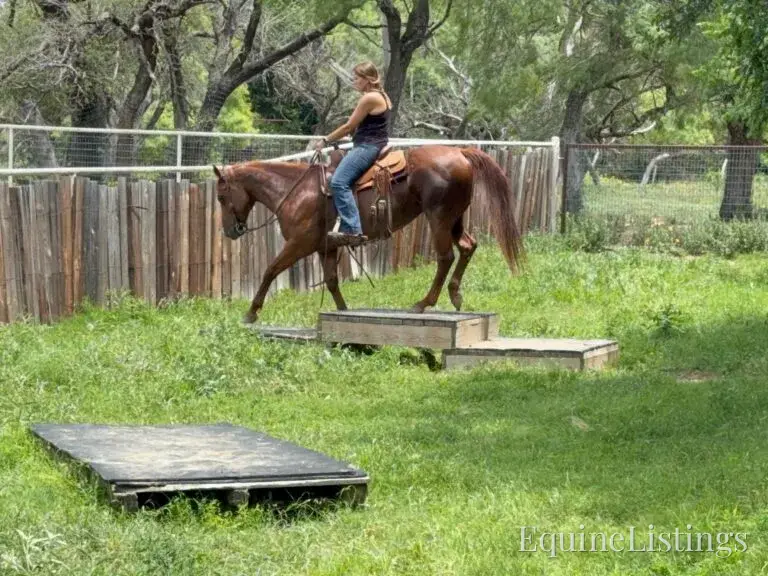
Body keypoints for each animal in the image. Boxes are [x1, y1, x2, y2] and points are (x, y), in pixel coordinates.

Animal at [212, 144, 525, 324]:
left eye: (221, 197)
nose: (230, 231)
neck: (295, 190)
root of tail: (460, 152)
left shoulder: (300, 243)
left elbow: (270, 270)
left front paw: (251, 312)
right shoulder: (326, 247)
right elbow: (331, 281)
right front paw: (343, 312)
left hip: (439, 218)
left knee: (445, 257)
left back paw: (423, 304)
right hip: (455, 219)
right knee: (468, 247)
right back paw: (455, 295)